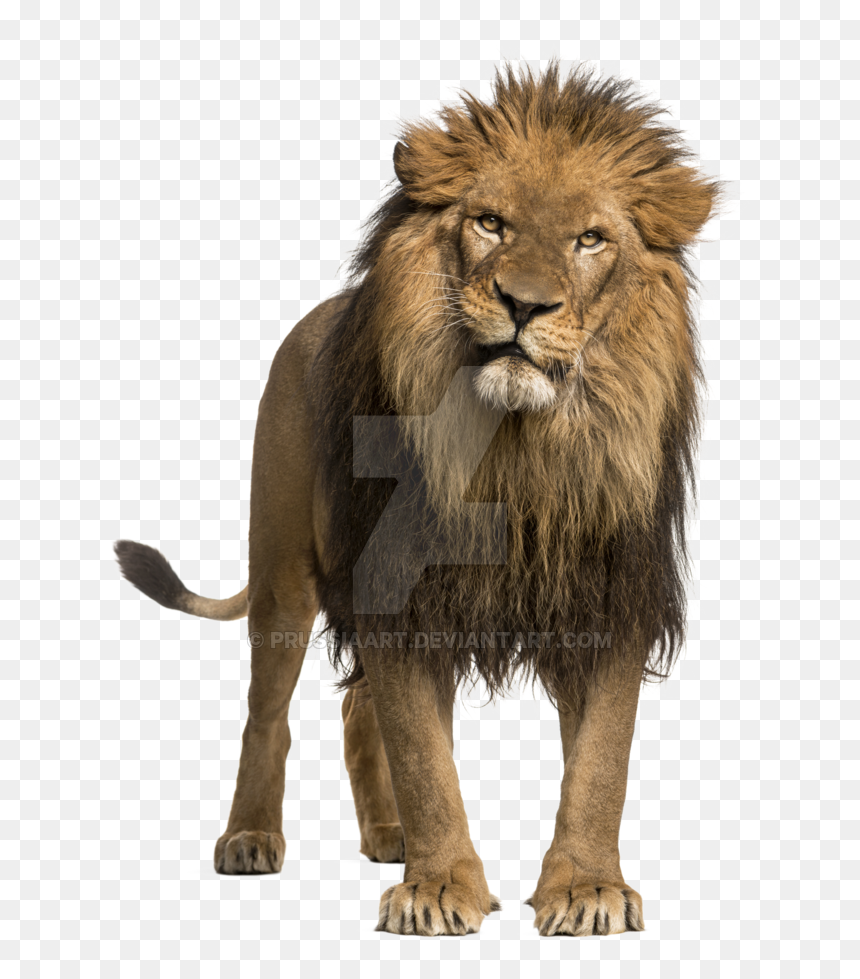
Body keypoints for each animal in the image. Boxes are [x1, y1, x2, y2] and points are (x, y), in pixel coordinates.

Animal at [114, 64, 720, 936]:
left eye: (590, 240)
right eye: (491, 223)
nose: (525, 304)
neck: (515, 451)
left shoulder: (610, 593)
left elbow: (601, 760)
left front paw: (586, 887)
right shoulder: (397, 587)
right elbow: (424, 755)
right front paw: (439, 889)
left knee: (355, 710)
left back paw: (388, 833)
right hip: (282, 574)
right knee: (269, 714)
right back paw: (252, 836)